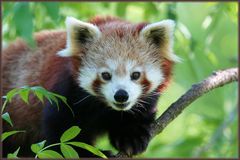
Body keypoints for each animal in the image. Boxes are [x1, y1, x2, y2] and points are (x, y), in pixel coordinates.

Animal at [1, 16, 178, 158]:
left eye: (135, 75)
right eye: (106, 75)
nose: (121, 95)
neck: (107, 108)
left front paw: (131, 136)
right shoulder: (65, 92)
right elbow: (61, 133)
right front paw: (90, 154)